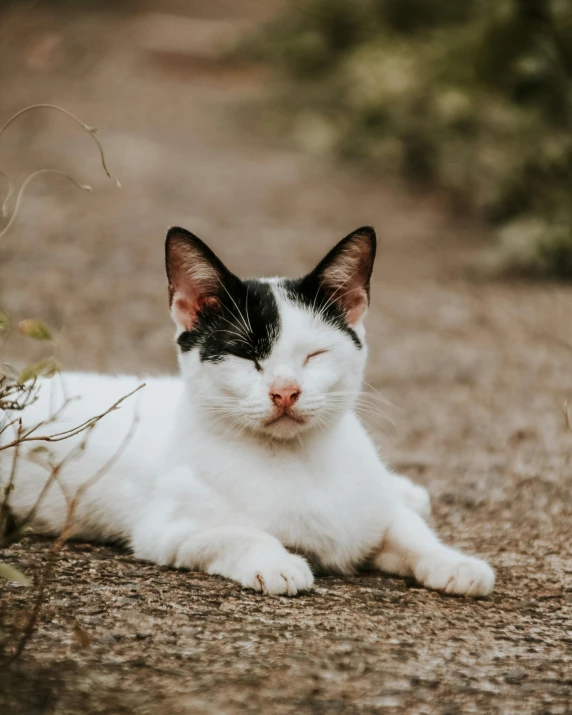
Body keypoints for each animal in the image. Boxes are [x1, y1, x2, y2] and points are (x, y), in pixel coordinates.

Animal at [2, 228, 494, 600]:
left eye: (315, 355)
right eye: (247, 355)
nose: (286, 392)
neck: (300, 460)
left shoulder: (370, 514)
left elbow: (408, 532)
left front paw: (455, 562)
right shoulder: (166, 531)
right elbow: (239, 532)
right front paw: (278, 562)